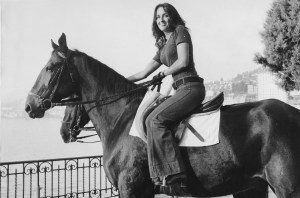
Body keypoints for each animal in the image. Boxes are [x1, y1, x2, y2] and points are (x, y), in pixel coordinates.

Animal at [25, 33, 300, 197]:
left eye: (50, 67)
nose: (29, 105)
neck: (122, 119)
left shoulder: (130, 188)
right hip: (251, 186)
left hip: (287, 186)